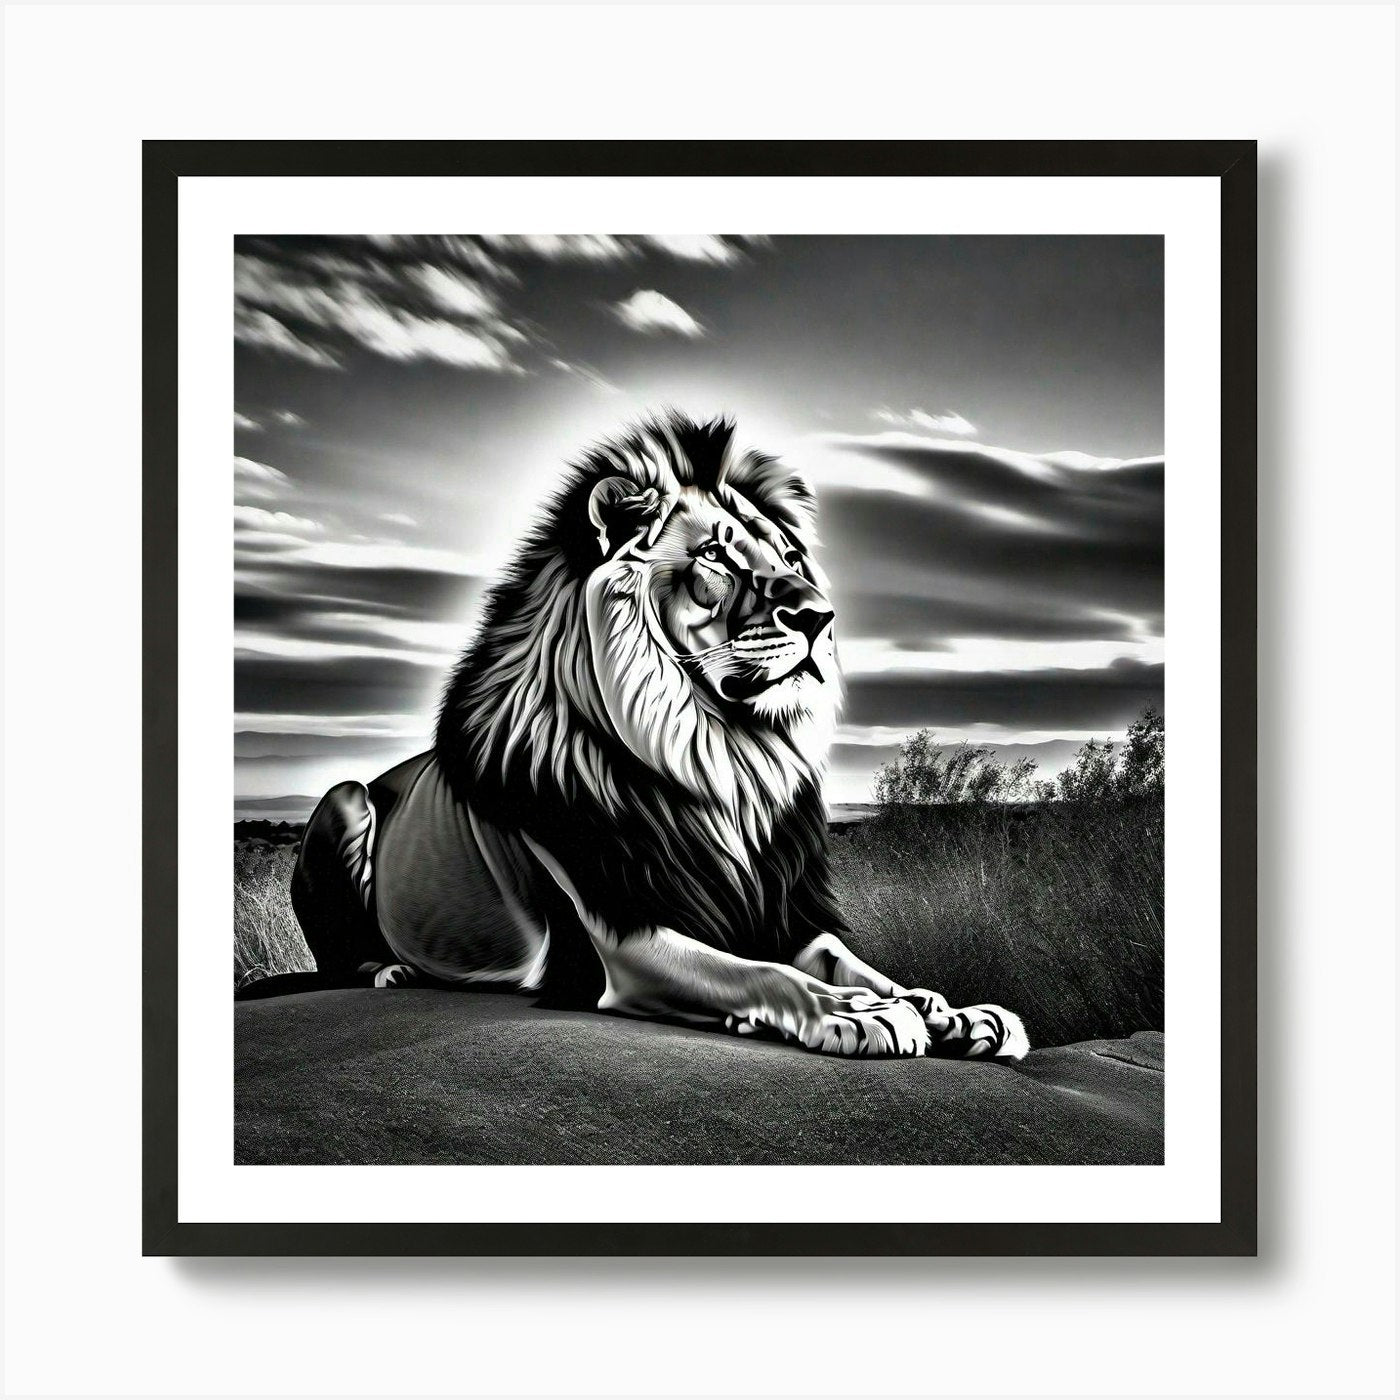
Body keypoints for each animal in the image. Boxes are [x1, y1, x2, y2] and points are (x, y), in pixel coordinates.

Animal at [275, 413, 1028, 1060]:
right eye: (715, 557)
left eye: (790, 557)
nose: (820, 615)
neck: (723, 758)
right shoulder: (620, 944)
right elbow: (763, 974)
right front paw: (859, 1014)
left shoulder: (781, 911)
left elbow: (852, 963)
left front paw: (950, 1011)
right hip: (345, 797)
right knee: (340, 957)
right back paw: (393, 971)